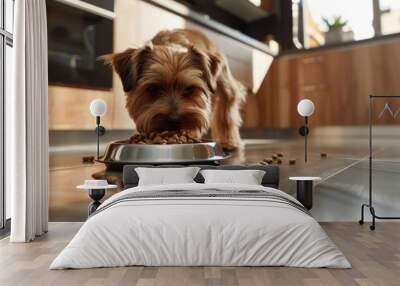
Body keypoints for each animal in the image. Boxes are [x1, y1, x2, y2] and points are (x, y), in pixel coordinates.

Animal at [104, 28, 245, 150]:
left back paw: (229, 141)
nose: (174, 120)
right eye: (153, 88)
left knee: (227, 106)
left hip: (224, 80)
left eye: (189, 89)